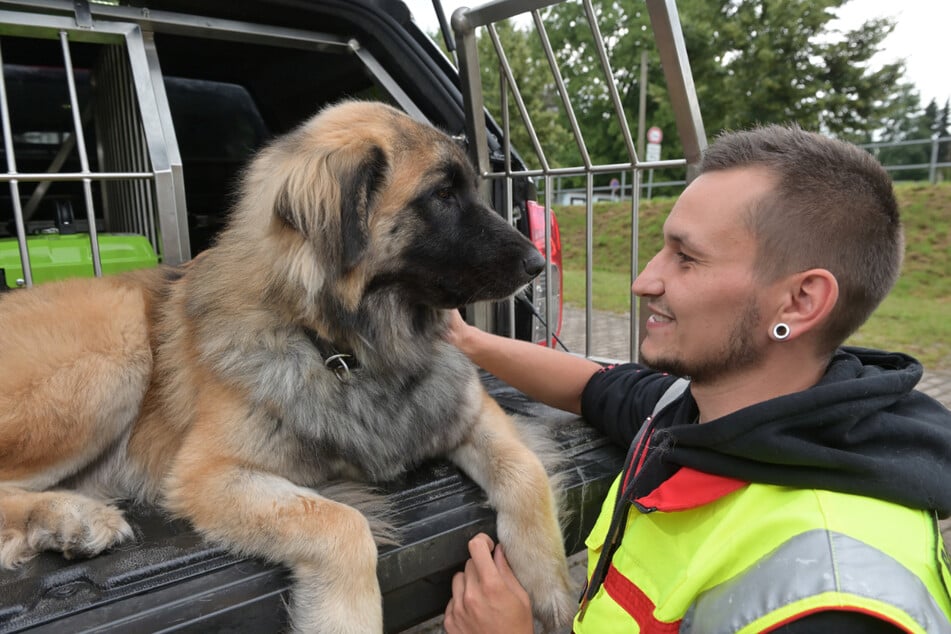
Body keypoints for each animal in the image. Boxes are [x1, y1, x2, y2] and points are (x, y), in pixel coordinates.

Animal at [0, 101, 572, 628]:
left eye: (471, 189)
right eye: (442, 196)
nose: (536, 264)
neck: (346, 345)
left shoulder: (471, 413)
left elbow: (526, 472)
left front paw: (552, 593)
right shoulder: (208, 475)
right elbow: (344, 524)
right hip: (117, 350)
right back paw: (71, 517)